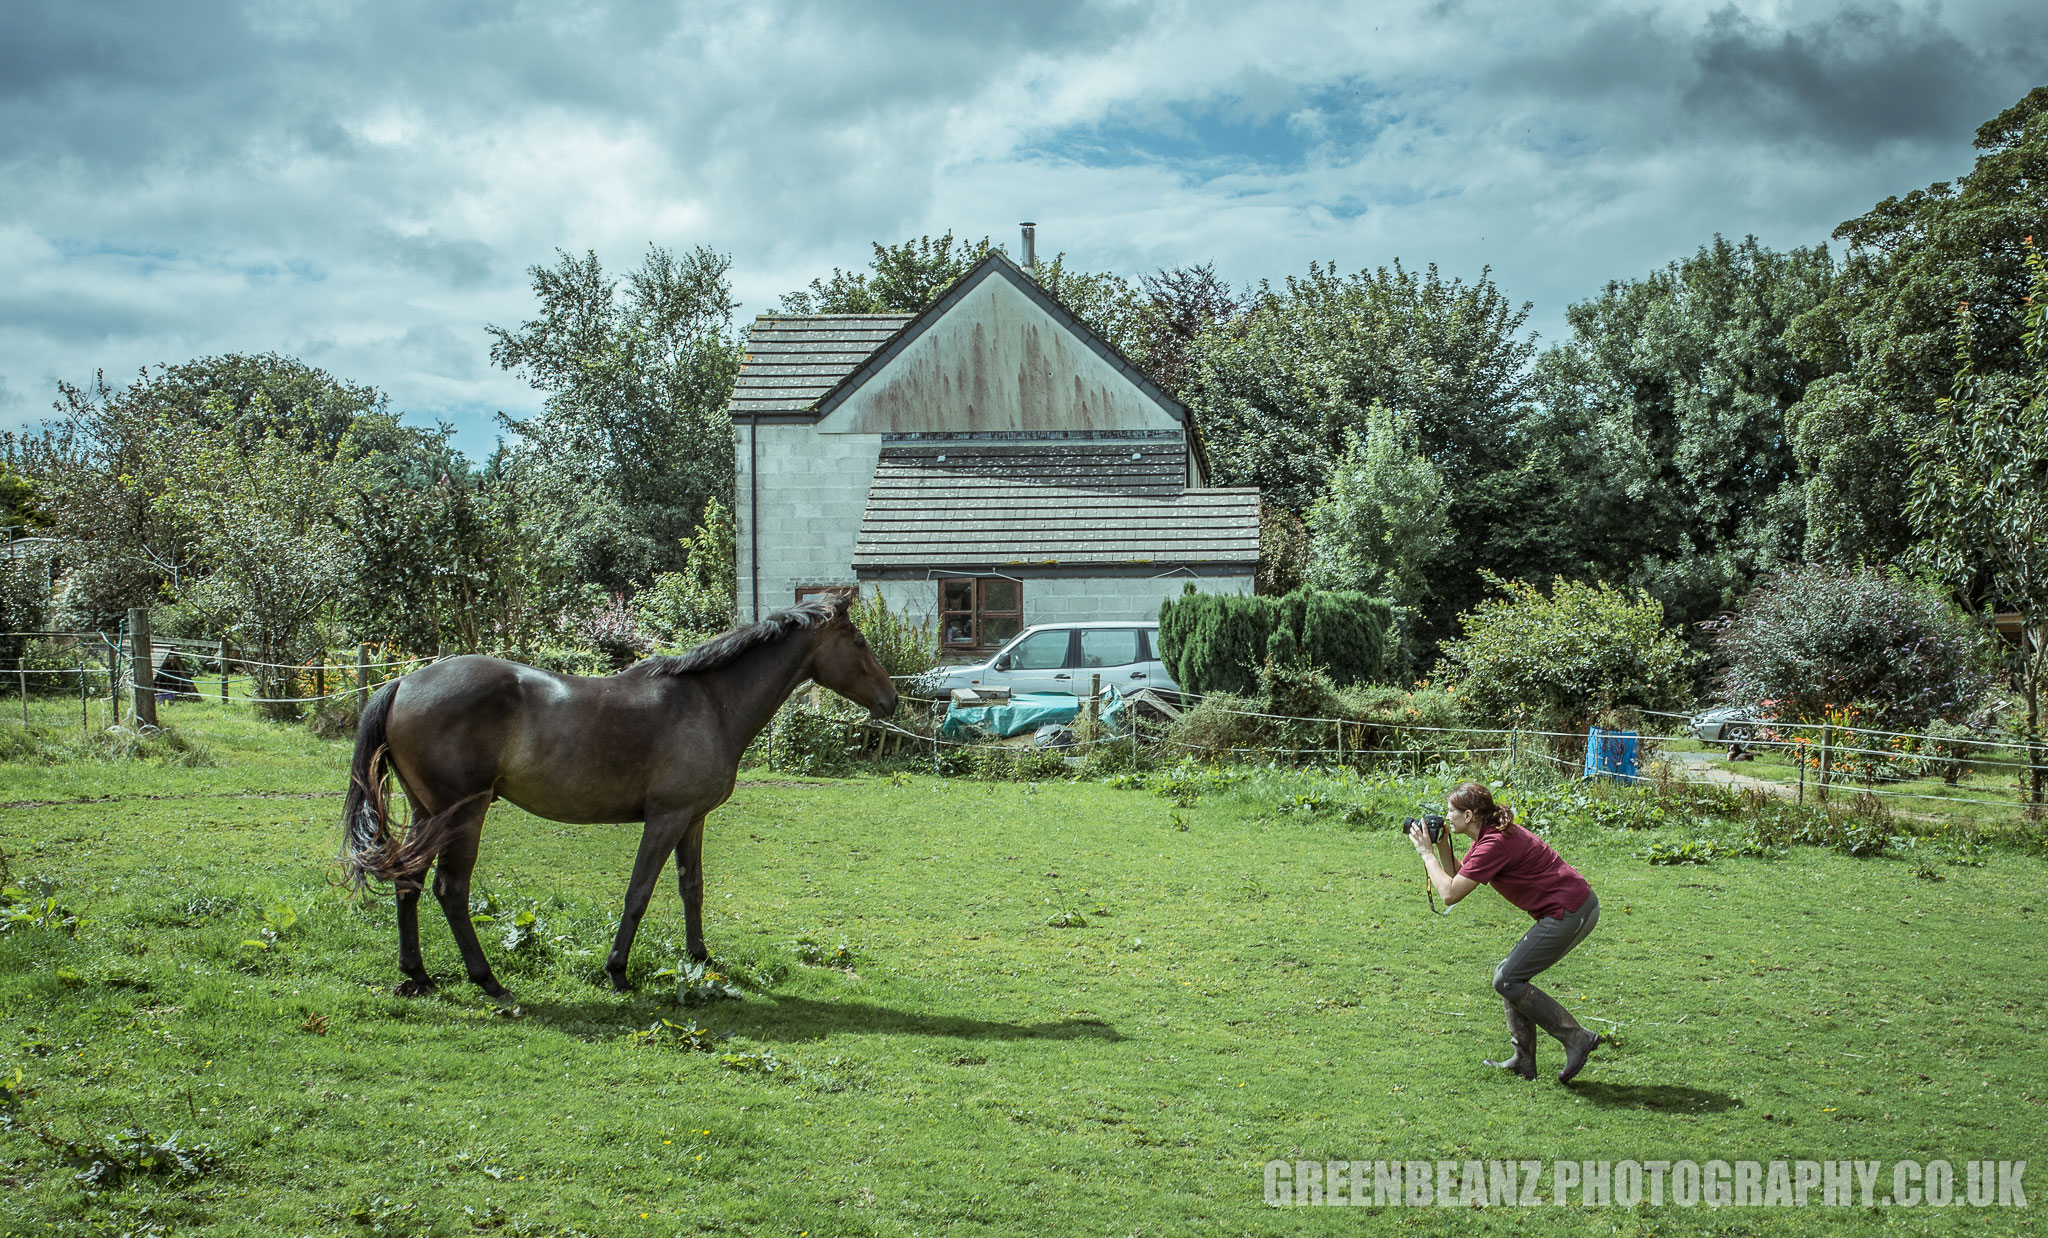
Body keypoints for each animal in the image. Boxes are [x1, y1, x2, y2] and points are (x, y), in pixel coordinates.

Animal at [335, 594, 897, 1000]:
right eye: (859, 641)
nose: (891, 700)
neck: (710, 702)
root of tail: (404, 681)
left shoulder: (693, 821)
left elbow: (692, 888)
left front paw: (700, 959)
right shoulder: (666, 819)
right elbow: (639, 893)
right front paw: (618, 971)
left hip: (427, 812)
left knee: (407, 880)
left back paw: (418, 975)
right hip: (464, 814)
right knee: (449, 890)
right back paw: (487, 980)